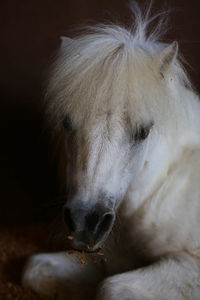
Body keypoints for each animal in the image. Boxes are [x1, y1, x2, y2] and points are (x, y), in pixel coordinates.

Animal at [22, 2, 200, 300]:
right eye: (66, 122)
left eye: (143, 131)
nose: (86, 223)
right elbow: (36, 268)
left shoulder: (188, 265)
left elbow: (109, 287)